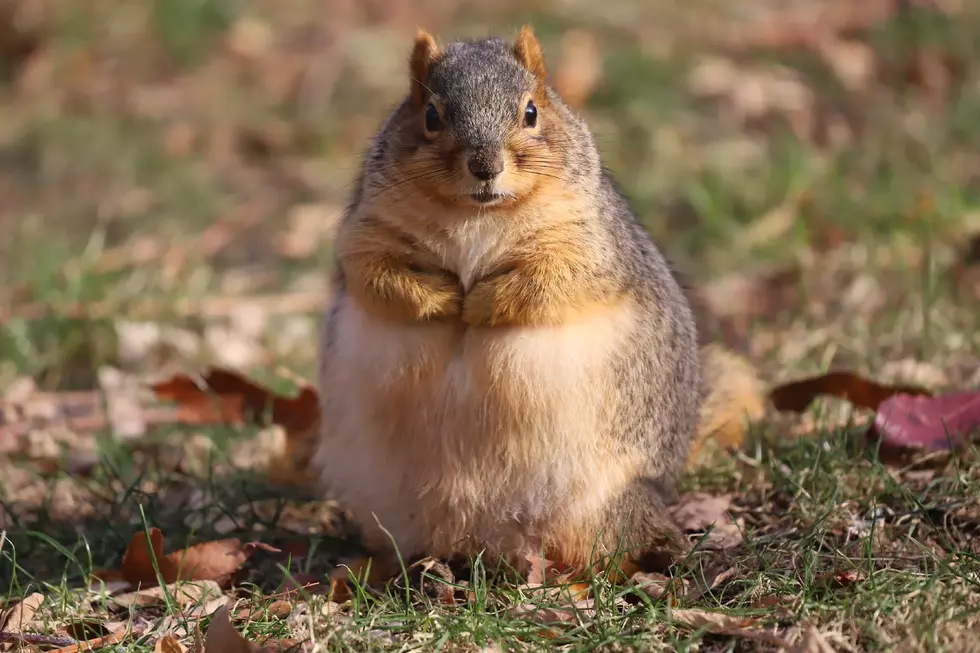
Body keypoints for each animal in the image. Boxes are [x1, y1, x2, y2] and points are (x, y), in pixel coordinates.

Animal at [314, 24, 764, 576]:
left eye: (531, 111)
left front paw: (477, 306)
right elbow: (375, 276)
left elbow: (553, 283)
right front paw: (444, 300)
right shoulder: (367, 232)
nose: (484, 166)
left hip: (601, 511)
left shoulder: (590, 246)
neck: (477, 214)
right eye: (430, 115)